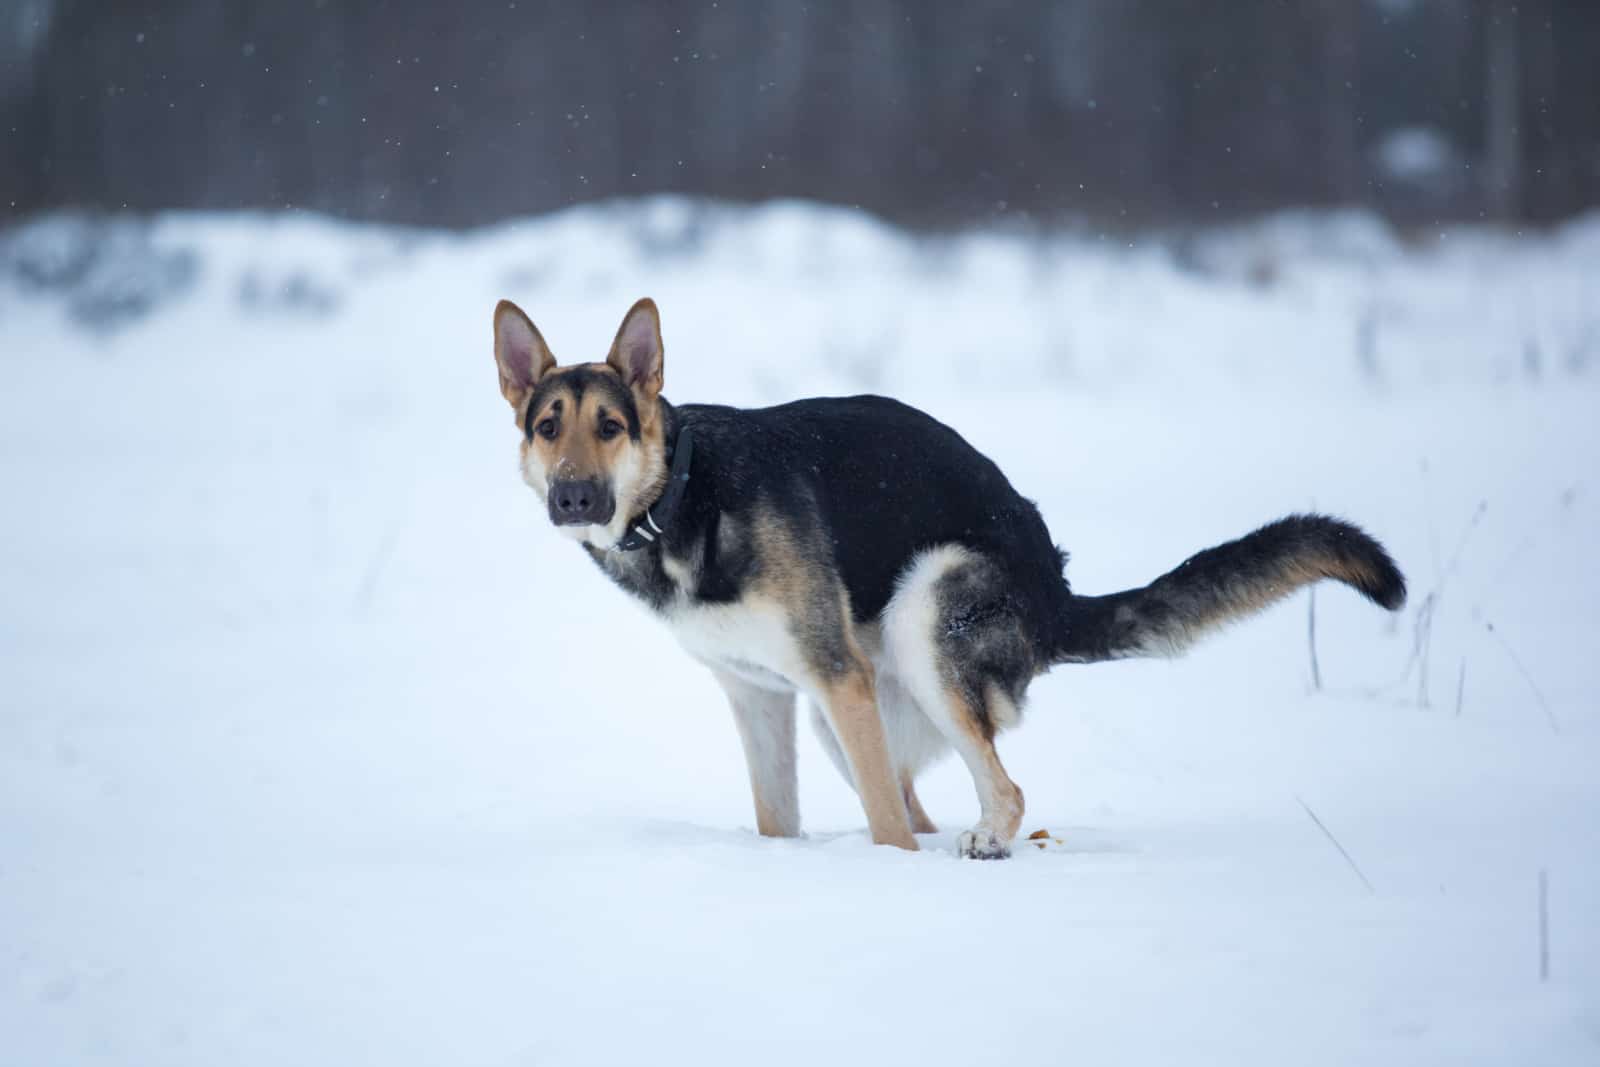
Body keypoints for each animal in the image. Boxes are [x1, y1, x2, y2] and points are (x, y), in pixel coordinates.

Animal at [486, 299, 1401, 857]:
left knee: (1001, 790)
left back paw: (989, 840)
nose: (572, 496)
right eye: (547, 426)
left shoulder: (835, 676)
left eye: (610, 426)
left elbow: (888, 826)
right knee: (930, 800)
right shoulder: (762, 698)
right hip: (843, 714)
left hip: (921, 624)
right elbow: (778, 818)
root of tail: (1056, 594)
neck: (681, 496)